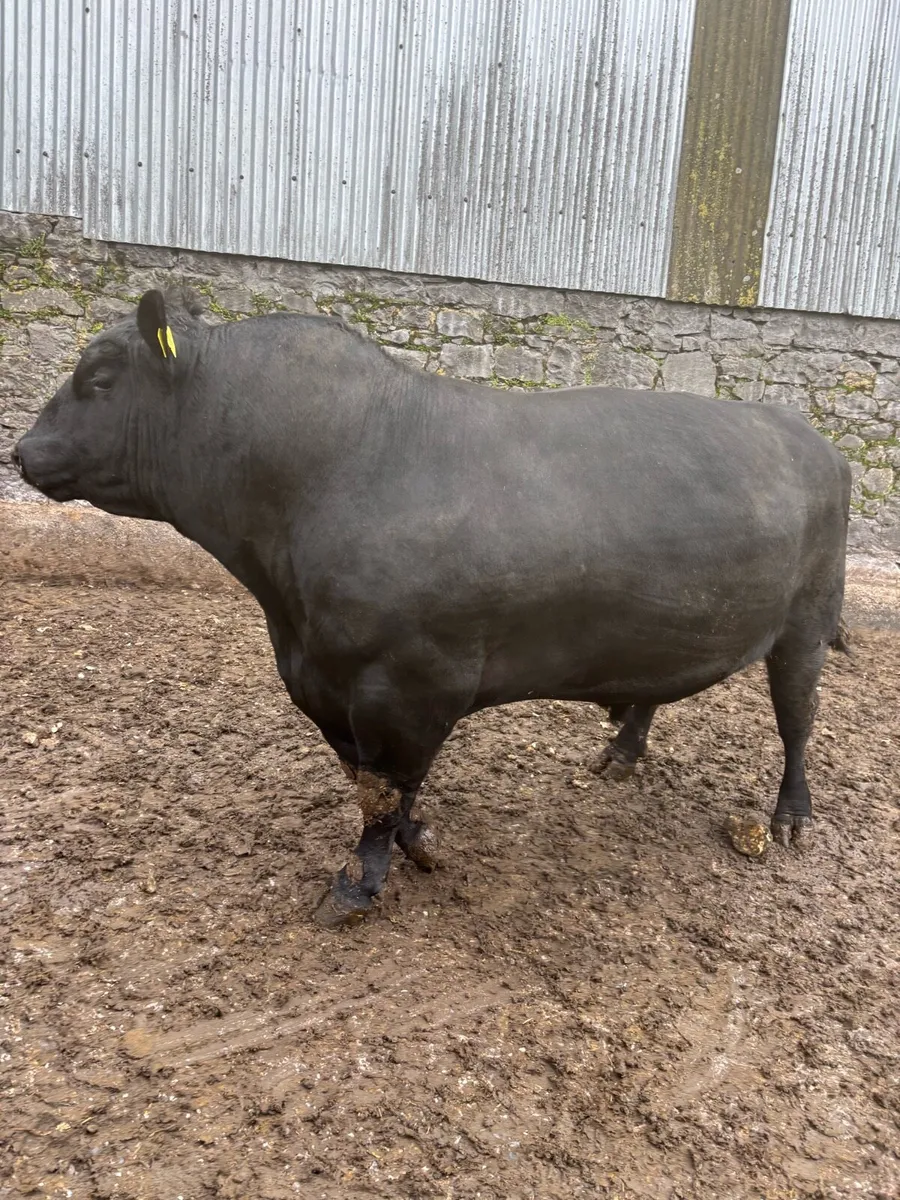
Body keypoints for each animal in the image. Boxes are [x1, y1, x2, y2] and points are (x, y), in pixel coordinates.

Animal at [13, 288, 851, 928]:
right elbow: (385, 785)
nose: (21, 451)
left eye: (100, 377)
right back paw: (621, 751)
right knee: (656, 686)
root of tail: (809, 433)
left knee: (798, 719)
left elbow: (383, 790)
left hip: (807, 622)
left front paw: (361, 882)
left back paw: (791, 818)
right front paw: (417, 841)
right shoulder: (327, 682)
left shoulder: (408, 683)